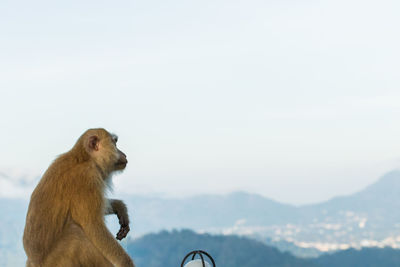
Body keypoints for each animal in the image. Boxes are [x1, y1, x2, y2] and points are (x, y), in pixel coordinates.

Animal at [23, 129, 134, 266]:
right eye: (115, 143)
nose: (124, 154)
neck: (85, 159)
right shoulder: (87, 177)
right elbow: (93, 226)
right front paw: (125, 262)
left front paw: (119, 207)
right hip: (59, 261)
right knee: (75, 235)